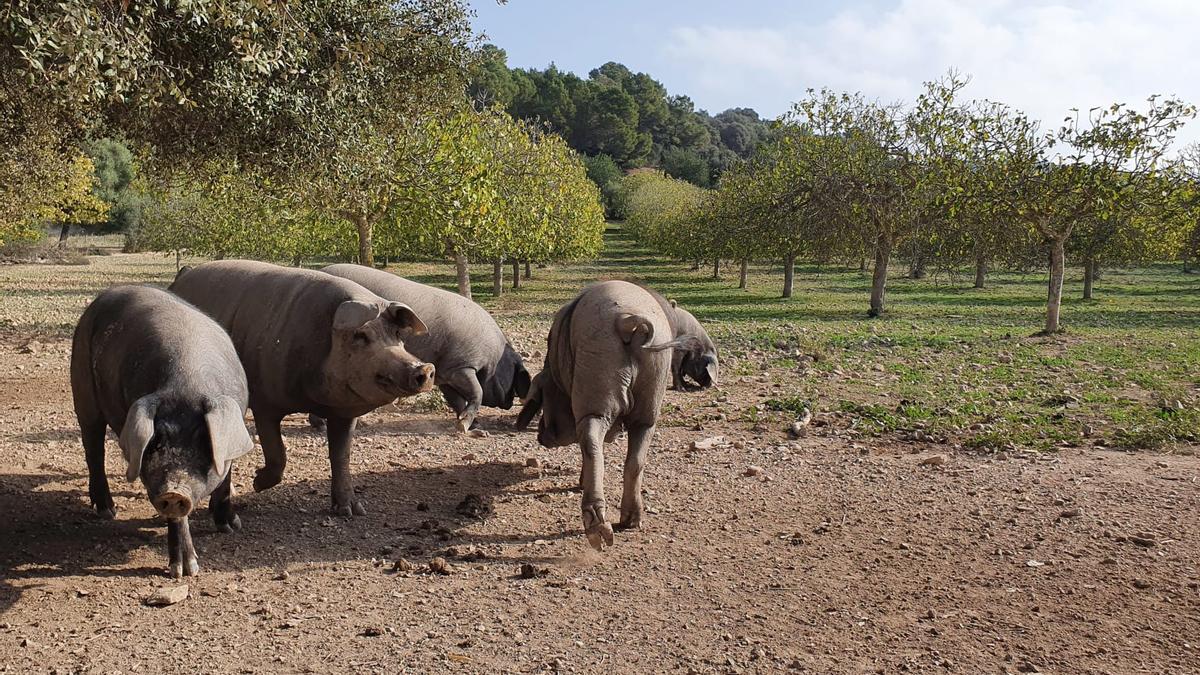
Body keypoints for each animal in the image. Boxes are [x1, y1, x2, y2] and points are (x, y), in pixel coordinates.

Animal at [69, 285, 253, 576]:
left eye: (204, 442)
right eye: (155, 443)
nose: (174, 491)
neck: (187, 383)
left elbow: (225, 476)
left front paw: (230, 527)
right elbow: (177, 517)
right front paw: (185, 571)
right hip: (82, 386)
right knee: (93, 449)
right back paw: (107, 511)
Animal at [166, 260, 434, 511]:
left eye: (397, 335)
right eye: (361, 336)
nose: (424, 368)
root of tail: (184, 275)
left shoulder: (344, 413)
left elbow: (341, 456)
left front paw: (352, 510)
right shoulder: (264, 402)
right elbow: (277, 452)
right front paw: (257, 483)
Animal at [314, 263, 530, 429]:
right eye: (514, 375)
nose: (510, 402)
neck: (494, 356)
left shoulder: (445, 374)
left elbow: (456, 400)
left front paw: (472, 425)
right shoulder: (461, 366)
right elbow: (477, 392)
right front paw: (464, 426)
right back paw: (326, 425)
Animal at [513, 281, 700, 550]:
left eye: (543, 401)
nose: (541, 437)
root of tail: (628, 321)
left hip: (596, 384)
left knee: (592, 443)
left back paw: (598, 530)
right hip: (648, 394)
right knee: (634, 458)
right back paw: (629, 521)